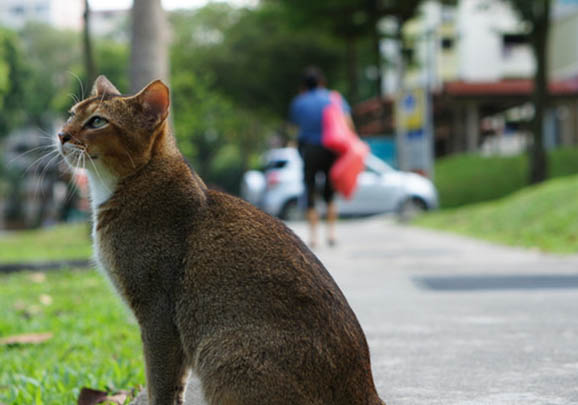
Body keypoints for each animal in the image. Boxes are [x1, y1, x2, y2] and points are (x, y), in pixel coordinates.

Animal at [58, 76, 384, 404]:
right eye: (72, 114)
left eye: (97, 121)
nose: (61, 134)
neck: (137, 179)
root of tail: (365, 390)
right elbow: (177, 384)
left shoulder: (157, 314)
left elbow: (159, 382)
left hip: (223, 350)